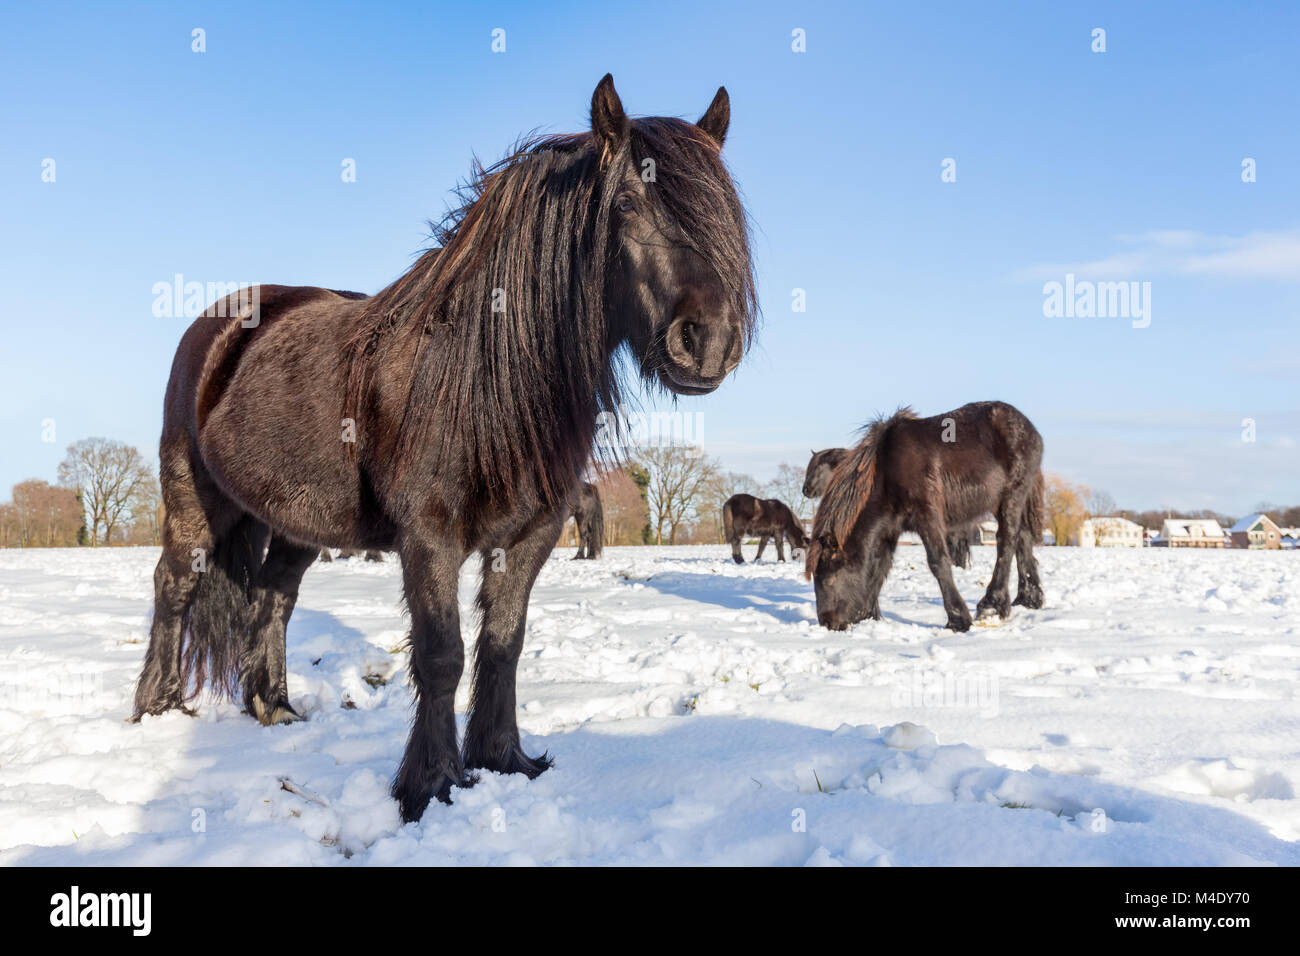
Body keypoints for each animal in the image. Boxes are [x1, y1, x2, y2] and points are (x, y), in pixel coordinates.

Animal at [130, 75, 757, 822]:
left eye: (723, 212)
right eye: (628, 203)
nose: (709, 342)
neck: (483, 375)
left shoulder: (532, 534)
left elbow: (504, 644)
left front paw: (504, 759)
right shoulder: (429, 536)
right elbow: (441, 655)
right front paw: (428, 787)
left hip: (296, 522)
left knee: (273, 598)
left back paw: (274, 708)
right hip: (195, 499)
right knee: (174, 586)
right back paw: (155, 710)